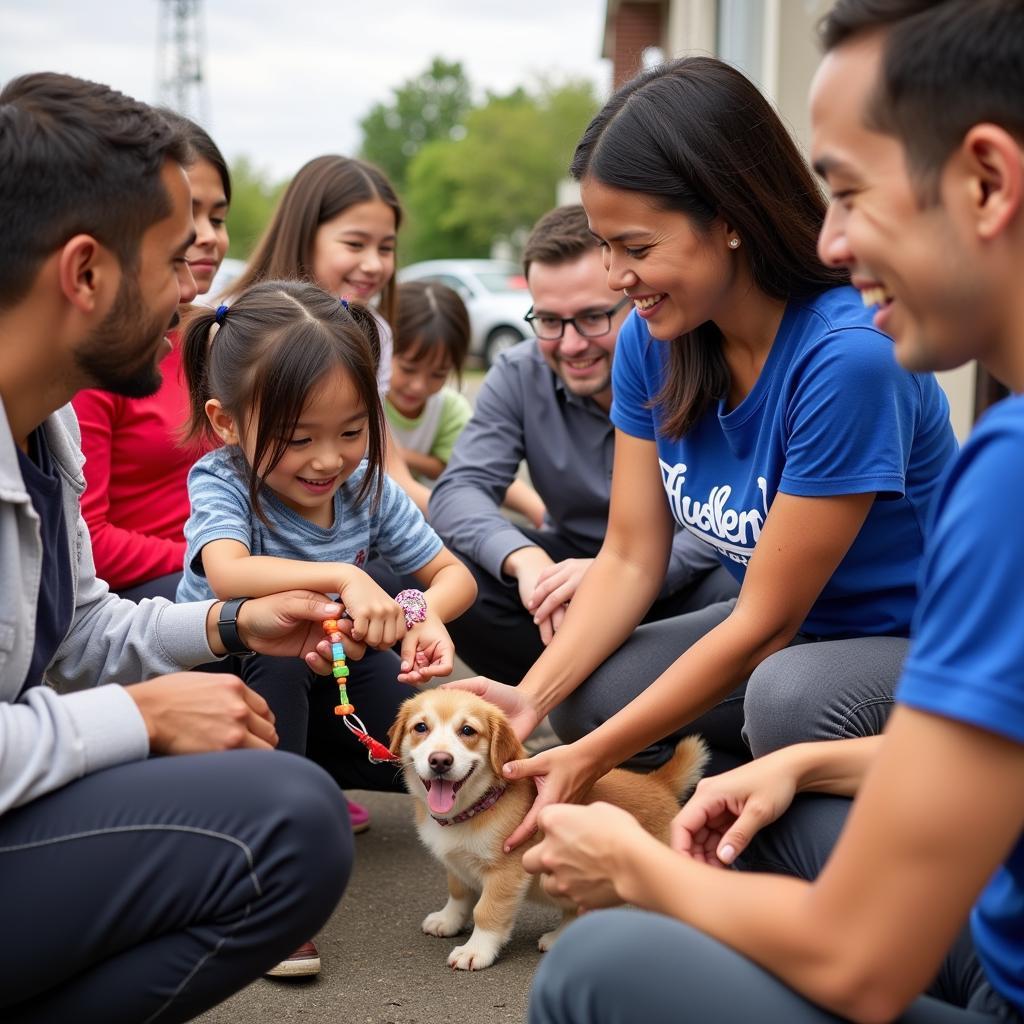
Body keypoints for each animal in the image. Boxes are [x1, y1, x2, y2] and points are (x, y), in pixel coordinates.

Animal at [387, 688, 708, 966]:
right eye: (420, 727)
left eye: (467, 731)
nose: (440, 761)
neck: (473, 808)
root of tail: (659, 783)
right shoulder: (456, 865)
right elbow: (459, 894)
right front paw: (448, 920)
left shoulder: (506, 872)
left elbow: (486, 911)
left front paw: (476, 951)